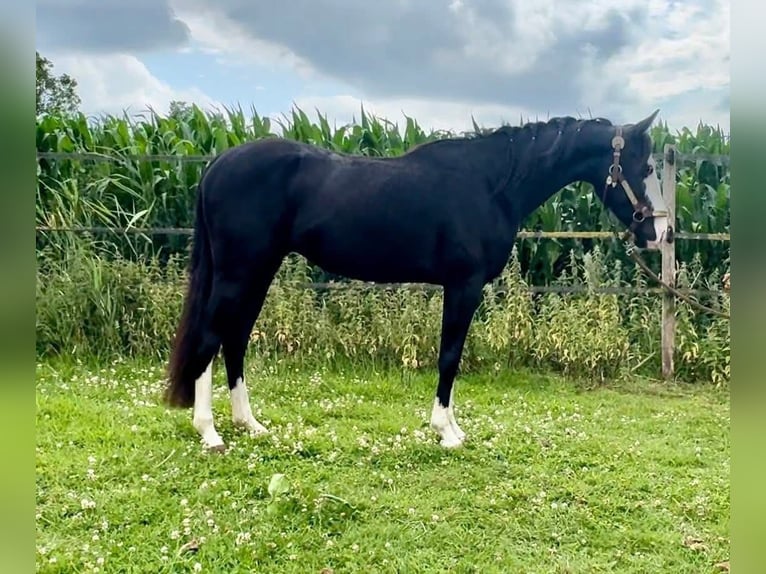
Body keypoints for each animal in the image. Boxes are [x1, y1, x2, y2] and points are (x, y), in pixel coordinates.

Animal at [163, 110, 670, 451]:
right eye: (645, 168)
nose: (659, 233)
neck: (492, 184)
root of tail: (217, 164)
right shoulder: (463, 285)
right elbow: (449, 358)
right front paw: (448, 431)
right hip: (239, 271)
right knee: (211, 337)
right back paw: (209, 432)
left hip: (258, 271)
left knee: (235, 339)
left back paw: (249, 424)